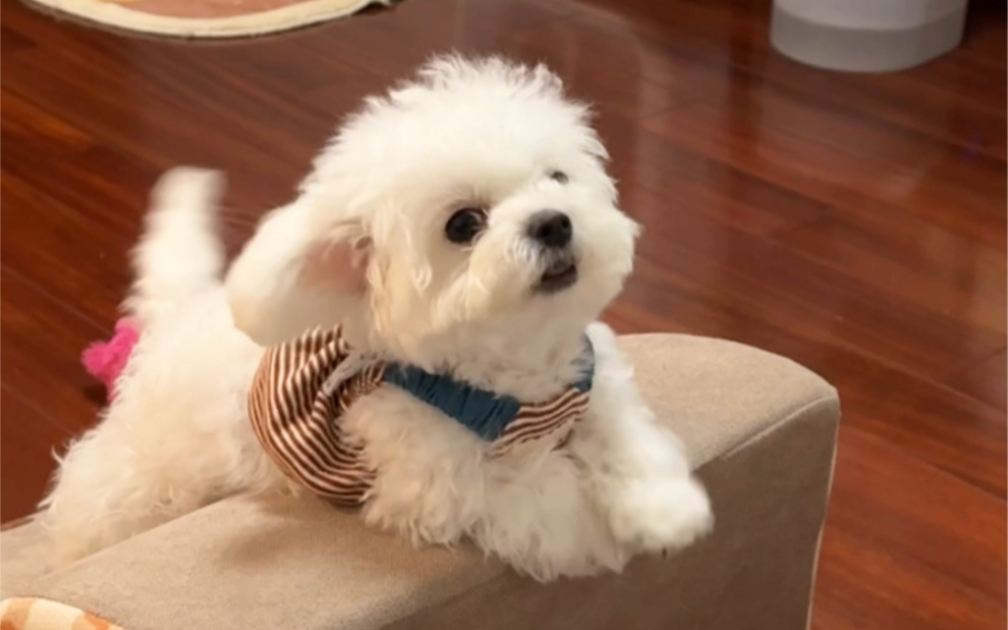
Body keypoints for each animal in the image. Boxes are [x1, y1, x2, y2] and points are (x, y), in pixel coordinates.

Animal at [40, 55, 712, 580]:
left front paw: (665, 511)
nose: (553, 222)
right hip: (135, 481)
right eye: (464, 225)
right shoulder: (443, 484)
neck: (518, 378)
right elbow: (551, 501)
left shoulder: (591, 378)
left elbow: (628, 436)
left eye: (557, 177)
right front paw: (607, 535)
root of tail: (177, 316)